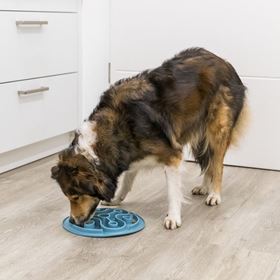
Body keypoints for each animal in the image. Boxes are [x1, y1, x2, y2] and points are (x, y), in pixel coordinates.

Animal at [50, 47, 247, 230]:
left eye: (75, 196)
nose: (73, 221)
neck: (116, 127)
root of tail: (224, 62)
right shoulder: (131, 153)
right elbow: (127, 180)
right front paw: (117, 199)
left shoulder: (172, 156)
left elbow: (173, 192)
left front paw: (173, 217)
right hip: (199, 133)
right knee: (208, 161)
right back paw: (204, 187)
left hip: (217, 129)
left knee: (217, 164)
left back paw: (214, 194)